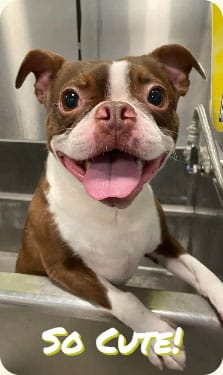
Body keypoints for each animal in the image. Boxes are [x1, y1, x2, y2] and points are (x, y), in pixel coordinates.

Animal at [14, 44, 222, 370]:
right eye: (69, 98)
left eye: (156, 96)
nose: (113, 111)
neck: (112, 211)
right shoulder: (66, 268)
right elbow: (125, 299)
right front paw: (158, 336)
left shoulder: (166, 245)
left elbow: (204, 272)